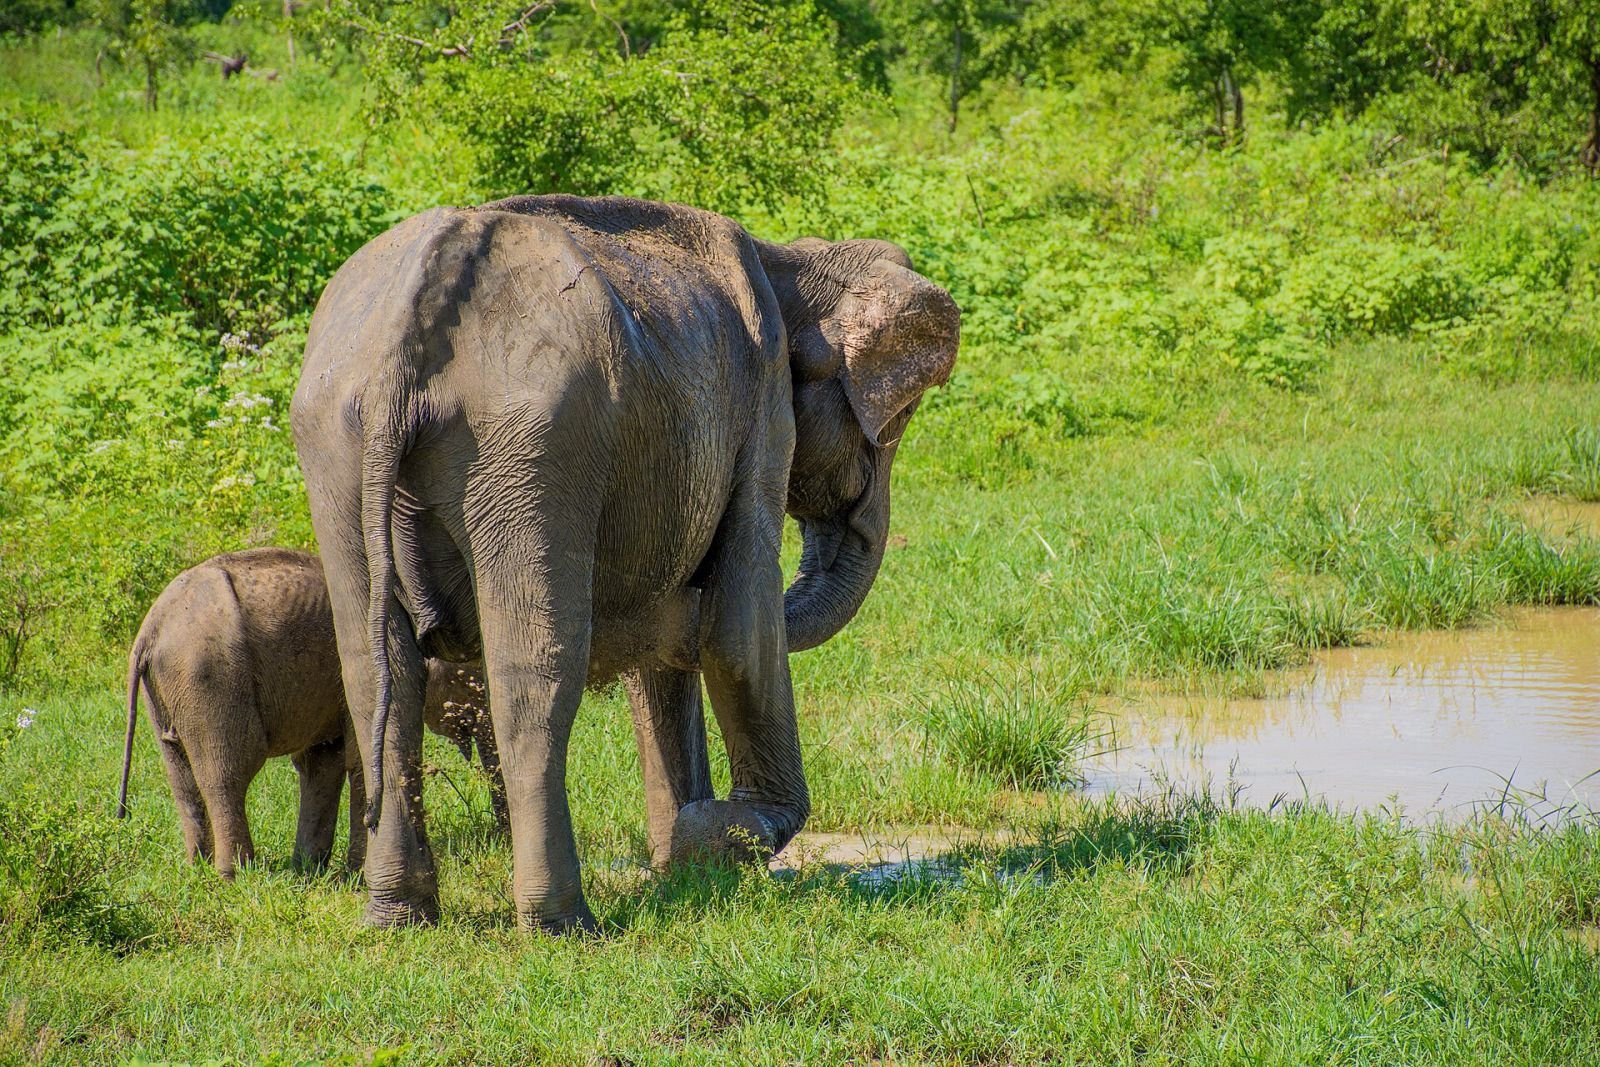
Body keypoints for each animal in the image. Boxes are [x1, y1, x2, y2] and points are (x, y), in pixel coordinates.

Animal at [118, 547, 507, 878]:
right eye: (472, 675)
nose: (501, 838)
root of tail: (149, 631)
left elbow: (323, 762)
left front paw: (311, 870)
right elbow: (354, 759)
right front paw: (354, 874)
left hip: (168, 690)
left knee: (181, 777)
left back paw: (199, 869)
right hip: (210, 678)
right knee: (227, 771)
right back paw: (236, 875)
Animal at [291, 194, 960, 931]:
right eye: (897, 422)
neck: (795, 258)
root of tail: (408, 325)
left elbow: (666, 656)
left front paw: (686, 864)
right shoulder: (762, 411)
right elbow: (740, 629)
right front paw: (713, 836)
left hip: (338, 445)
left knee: (377, 675)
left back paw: (397, 916)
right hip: (532, 446)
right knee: (535, 680)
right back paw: (562, 924)